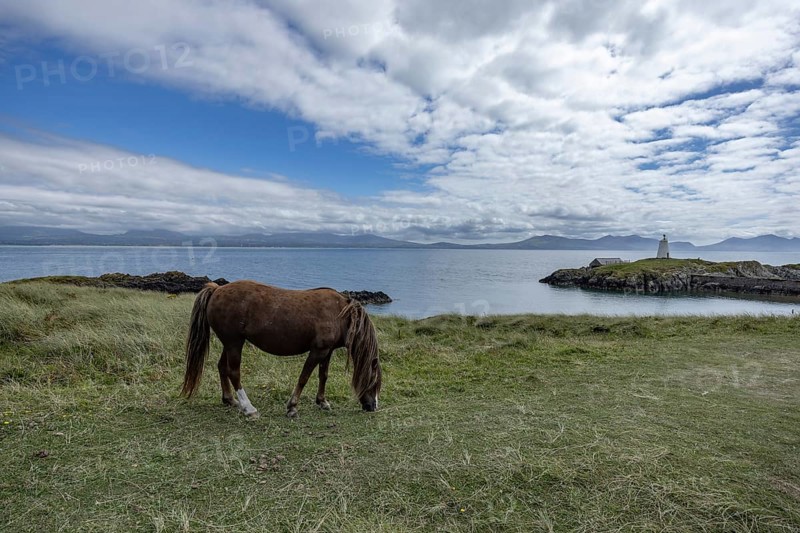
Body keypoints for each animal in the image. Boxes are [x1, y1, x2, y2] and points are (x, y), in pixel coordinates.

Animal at [180, 280, 382, 418]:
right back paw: (248, 408)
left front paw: (322, 402)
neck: (340, 314)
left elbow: (323, 376)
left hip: (230, 343)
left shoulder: (327, 352)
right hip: (234, 343)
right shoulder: (318, 351)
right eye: (374, 381)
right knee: (234, 372)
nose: (373, 407)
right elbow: (304, 377)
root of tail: (217, 289)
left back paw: (230, 400)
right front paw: (292, 407)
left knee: (222, 367)